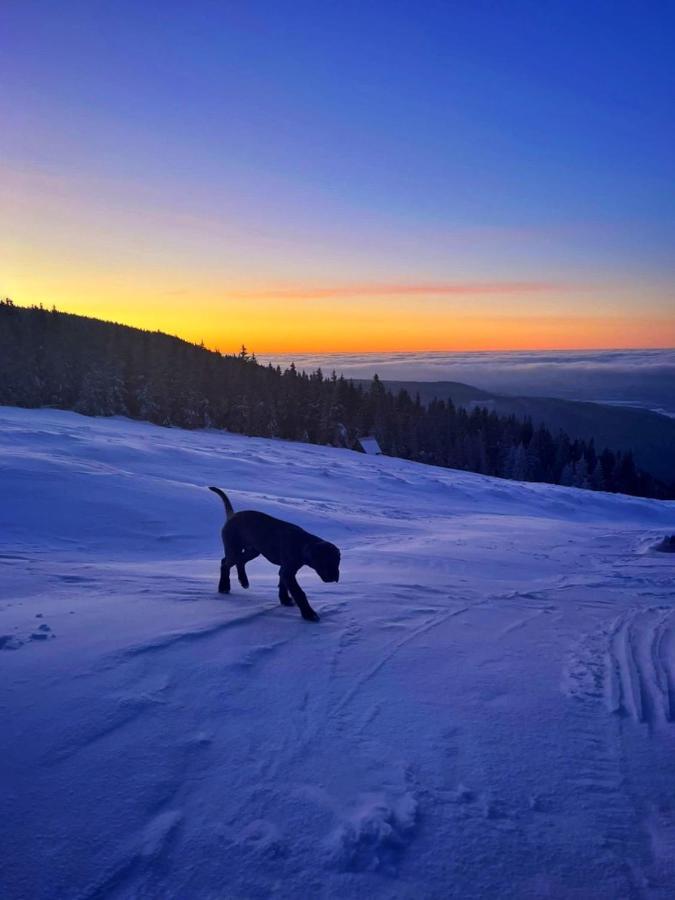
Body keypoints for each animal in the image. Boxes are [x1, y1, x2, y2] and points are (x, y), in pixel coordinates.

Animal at [209, 488, 340, 624]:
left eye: (337, 562)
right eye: (324, 562)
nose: (335, 577)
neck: (302, 544)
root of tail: (232, 515)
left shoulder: (285, 571)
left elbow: (282, 585)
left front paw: (285, 600)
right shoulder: (288, 572)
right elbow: (299, 593)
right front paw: (309, 614)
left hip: (253, 551)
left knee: (238, 561)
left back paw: (244, 581)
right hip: (234, 549)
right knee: (225, 564)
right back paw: (224, 587)